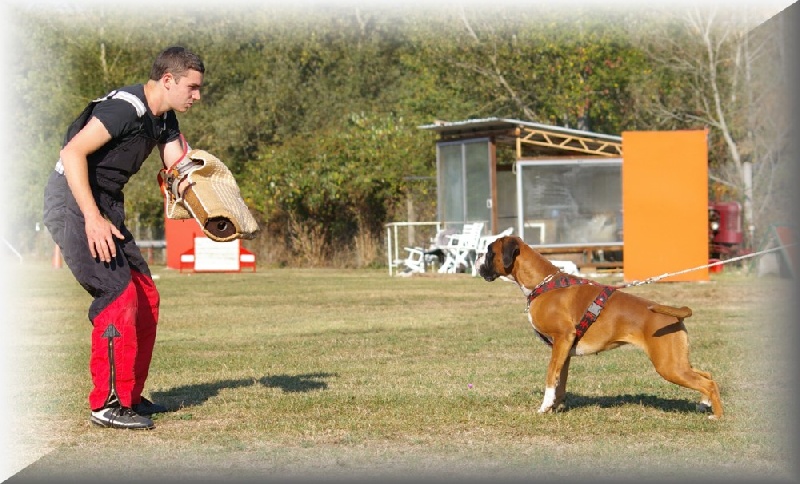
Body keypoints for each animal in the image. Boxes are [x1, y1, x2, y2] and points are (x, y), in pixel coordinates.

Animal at [476, 236, 724, 418]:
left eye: (489, 251)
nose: (477, 257)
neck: (543, 284)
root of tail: (675, 313)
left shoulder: (562, 338)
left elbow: (550, 375)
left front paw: (544, 407)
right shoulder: (562, 349)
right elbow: (560, 380)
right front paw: (556, 406)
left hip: (668, 366)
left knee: (708, 383)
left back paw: (717, 416)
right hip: (677, 362)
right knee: (708, 375)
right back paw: (704, 404)